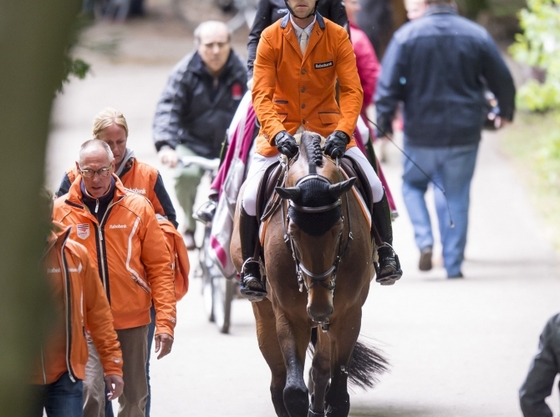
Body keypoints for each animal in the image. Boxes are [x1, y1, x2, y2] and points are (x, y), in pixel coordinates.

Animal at [230, 132, 388, 414]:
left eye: (339, 230)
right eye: (291, 232)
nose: (319, 309)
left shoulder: (348, 313)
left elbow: (338, 395)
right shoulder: (290, 315)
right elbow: (293, 391)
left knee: (320, 368)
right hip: (265, 311)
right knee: (278, 378)